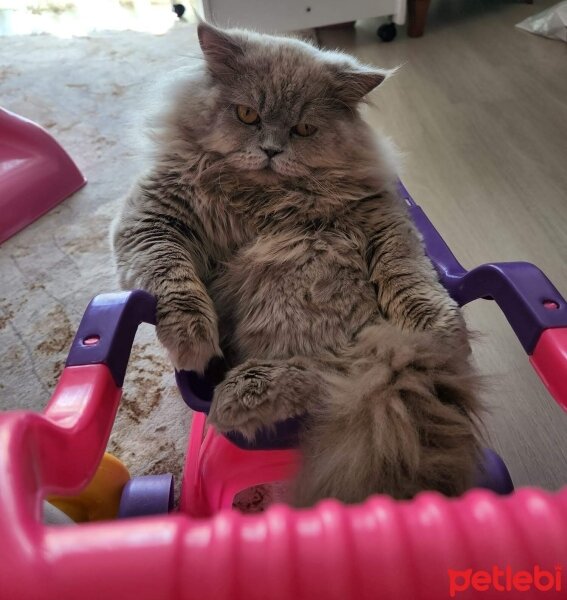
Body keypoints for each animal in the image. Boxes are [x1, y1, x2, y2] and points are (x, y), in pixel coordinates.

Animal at [112, 19, 484, 506]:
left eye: (304, 128)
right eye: (247, 115)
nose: (272, 150)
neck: (262, 198)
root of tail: (389, 358)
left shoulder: (380, 216)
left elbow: (408, 272)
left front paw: (441, 331)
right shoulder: (154, 219)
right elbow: (172, 278)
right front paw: (191, 339)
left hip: (302, 285)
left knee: (324, 377)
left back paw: (237, 396)